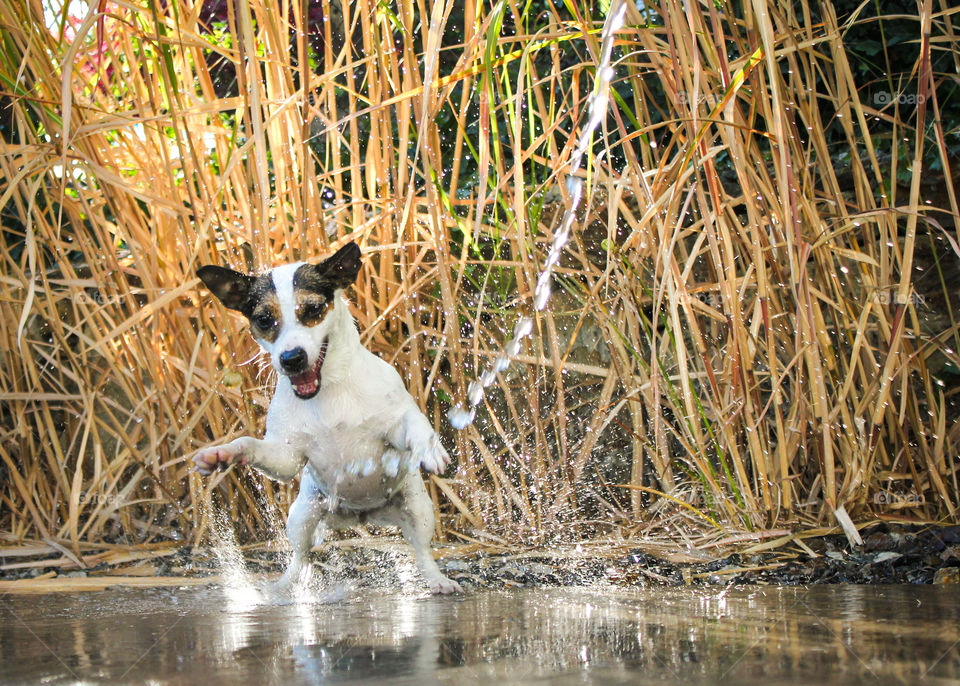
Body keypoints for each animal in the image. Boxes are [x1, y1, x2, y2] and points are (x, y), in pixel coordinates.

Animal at [192, 243, 462, 596]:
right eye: (264, 319)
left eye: (313, 309)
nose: (291, 358)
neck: (328, 390)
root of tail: (361, 514)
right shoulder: (287, 457)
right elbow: (251, 444)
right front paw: (223, 453)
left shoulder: (394, 426)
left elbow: (415, 426)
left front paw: (430, 449)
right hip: (302, 516)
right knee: (301, 557)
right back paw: (285, 586)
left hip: (418, 509)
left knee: (422, 550)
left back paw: (437, 579)